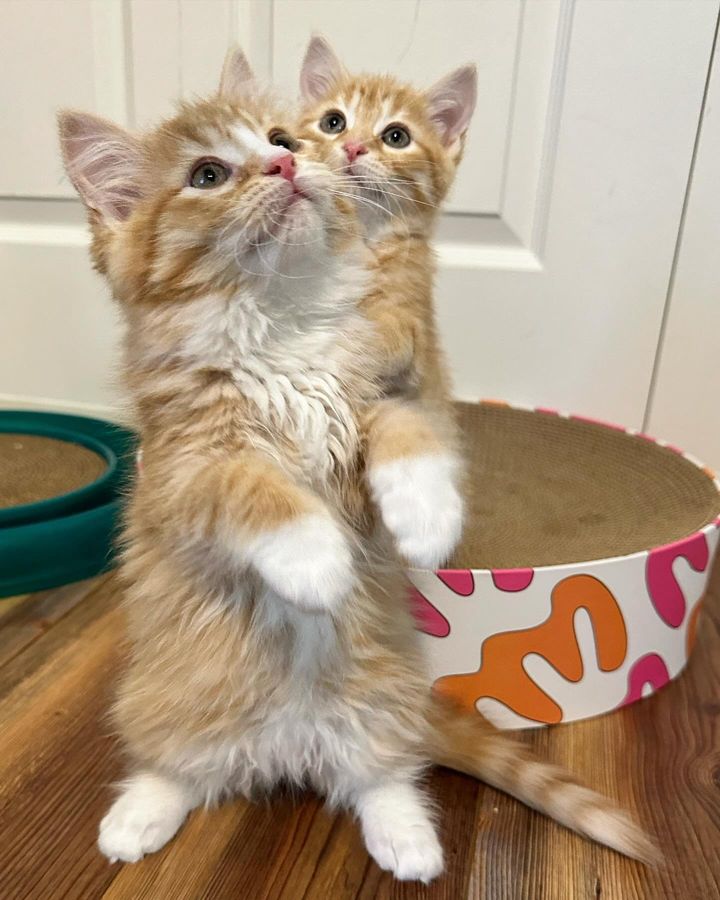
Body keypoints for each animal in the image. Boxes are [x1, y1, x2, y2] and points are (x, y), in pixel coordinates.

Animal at [60, 47, 652, 880]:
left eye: (282, 136)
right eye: (207, 174)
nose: (285, 161)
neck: (281, 324)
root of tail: (284, 746)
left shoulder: (385, 389)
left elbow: (409, 435)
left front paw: (426, 520)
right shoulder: (185, 461)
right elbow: (256, 490)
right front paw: (316, 562)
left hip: (383, 703)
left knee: (381, 777)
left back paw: (410, 841)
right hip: (162, 703)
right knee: (177, 770)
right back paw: (135, 818)